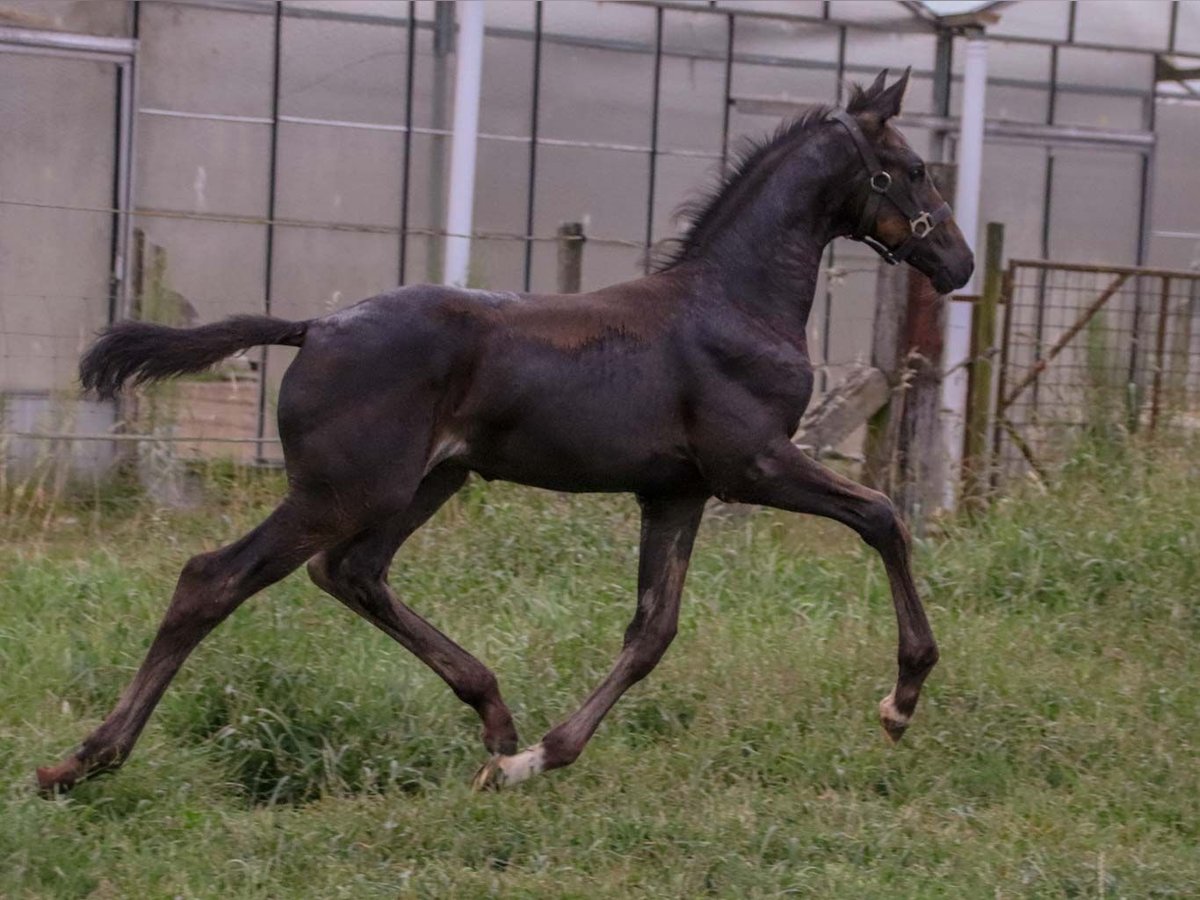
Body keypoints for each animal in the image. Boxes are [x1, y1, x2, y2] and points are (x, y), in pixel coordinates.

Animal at [39, 74, 974, 801]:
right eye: (913, 170)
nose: (960, 263)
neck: (735, 302)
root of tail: (314, 327)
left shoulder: (676, 491)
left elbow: (652, 631)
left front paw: (535, 759)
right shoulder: (754, 465)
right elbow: (883, 515)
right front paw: (902, 699)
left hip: (425, 483)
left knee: (352, 573)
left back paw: (494, 718)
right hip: (345, 489)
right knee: (216, 579)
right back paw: (84, 761)